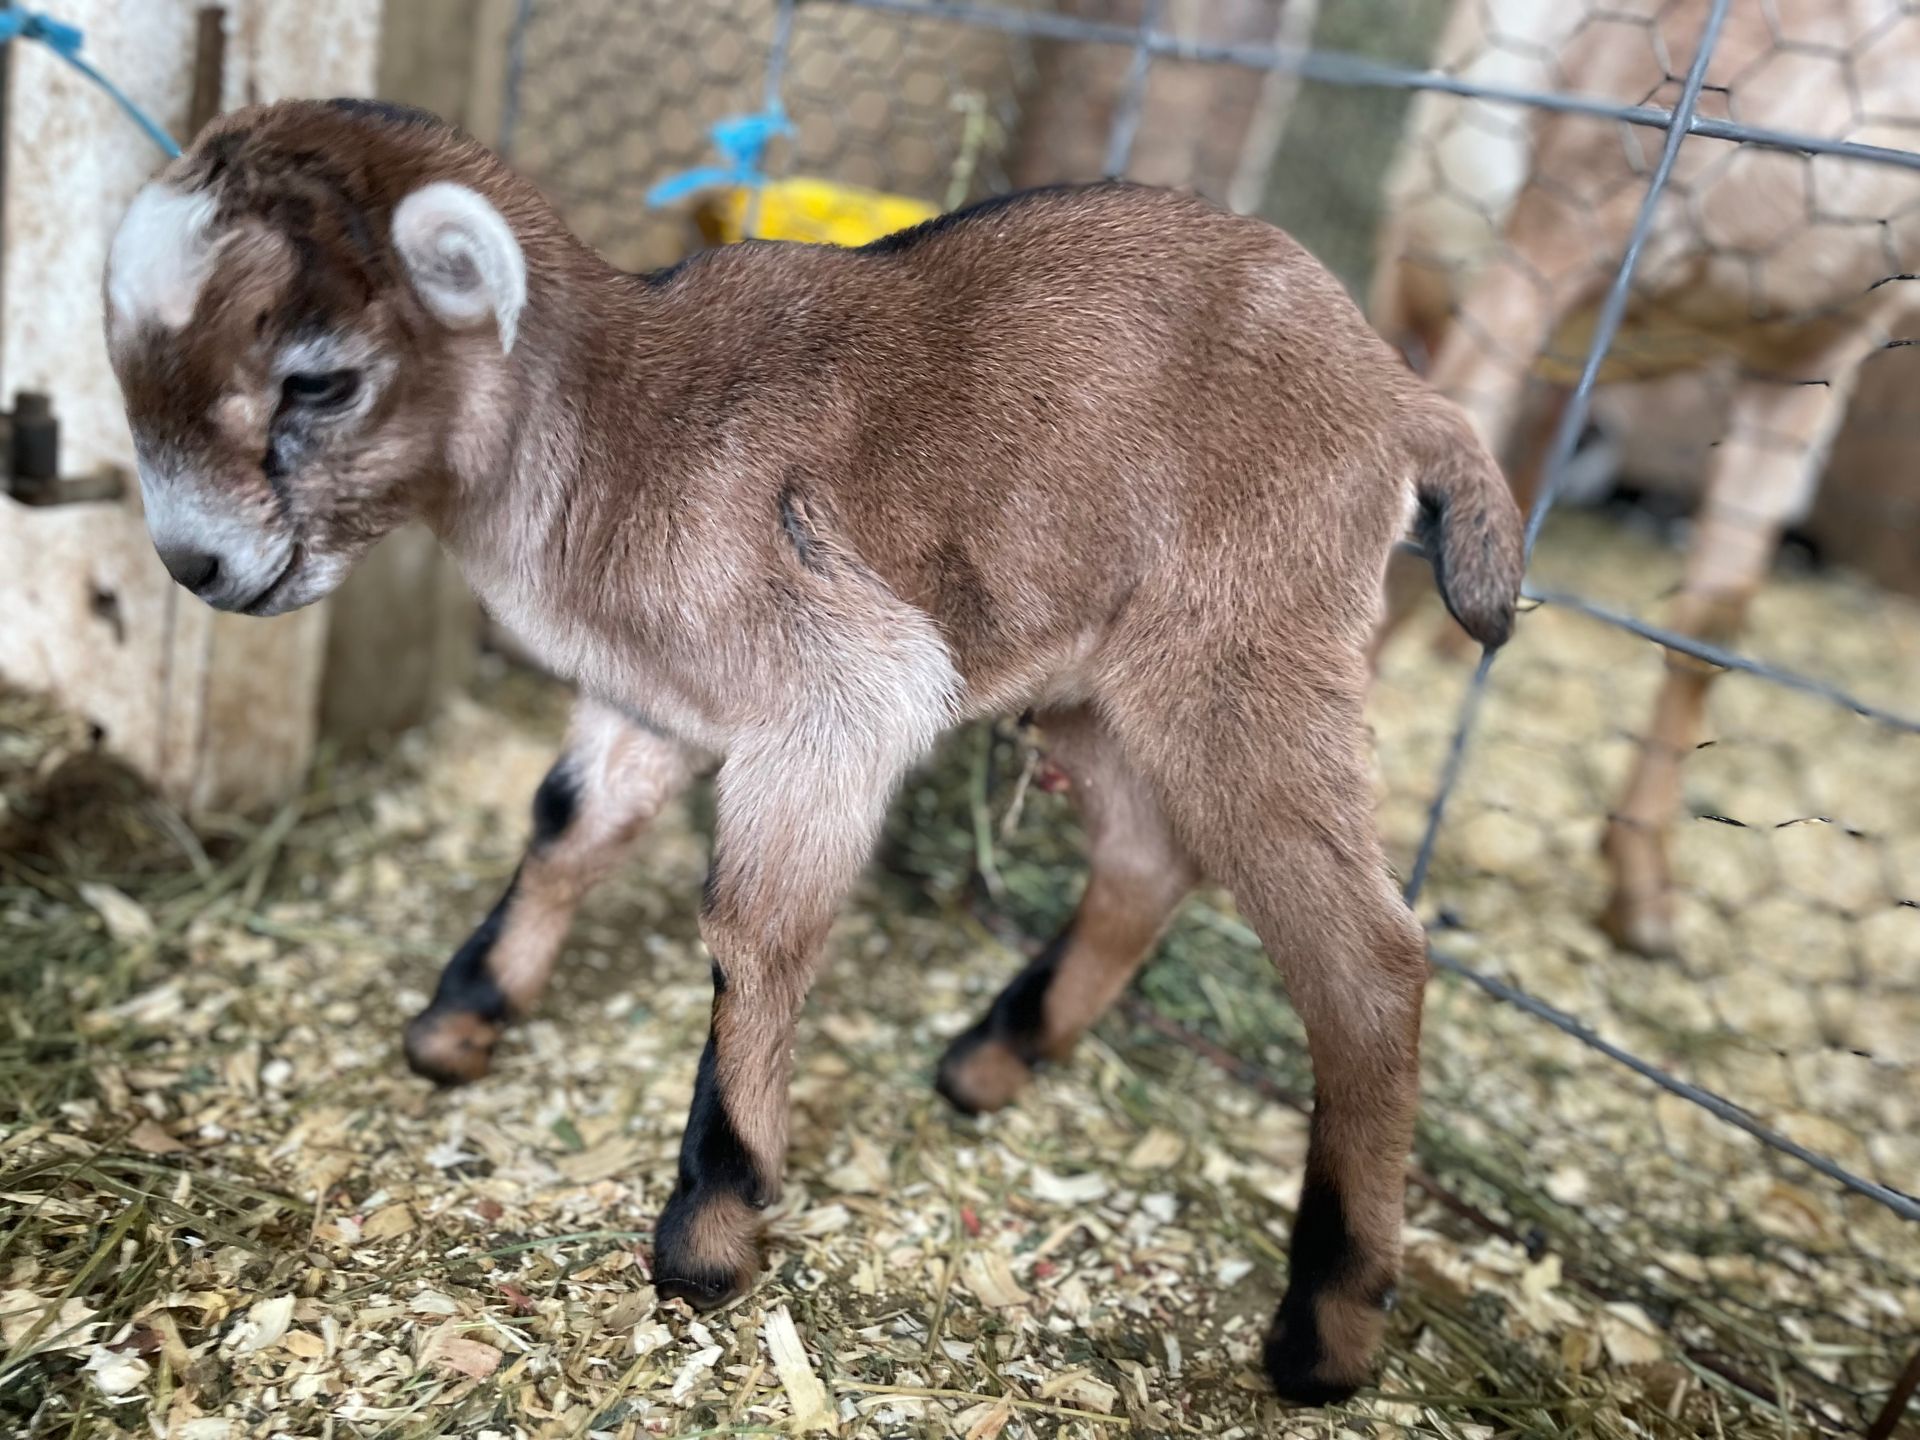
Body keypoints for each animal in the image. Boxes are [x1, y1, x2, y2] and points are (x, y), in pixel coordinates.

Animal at [103, 98, 1523, 1404]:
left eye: (319, 379)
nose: (193, 565)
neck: (611, 427)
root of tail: (1399, 398)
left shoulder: (838, 692)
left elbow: (753, 931)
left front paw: (712, 1232)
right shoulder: (654, 698)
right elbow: (568, 823)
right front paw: (464, 1020)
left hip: (1246, 652)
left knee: (1367, 958)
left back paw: (1328, 1327)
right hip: (1099, 677)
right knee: (1145, 857)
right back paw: (998, 1055)